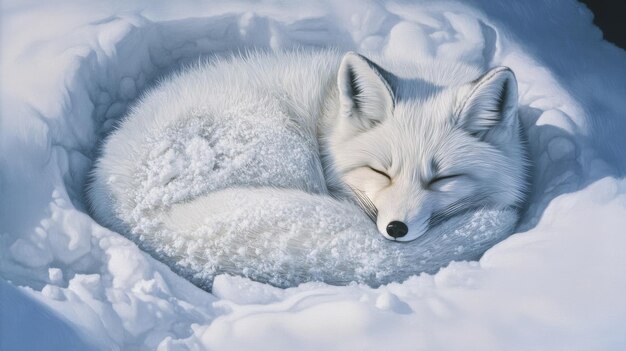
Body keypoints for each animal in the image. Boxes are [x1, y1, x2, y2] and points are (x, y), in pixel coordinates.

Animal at [88, 50, 524, 288]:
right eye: (381, 172)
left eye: (441, 178)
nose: (395, 230)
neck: (327, 120)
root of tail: (135, 214)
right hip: (283, 145)